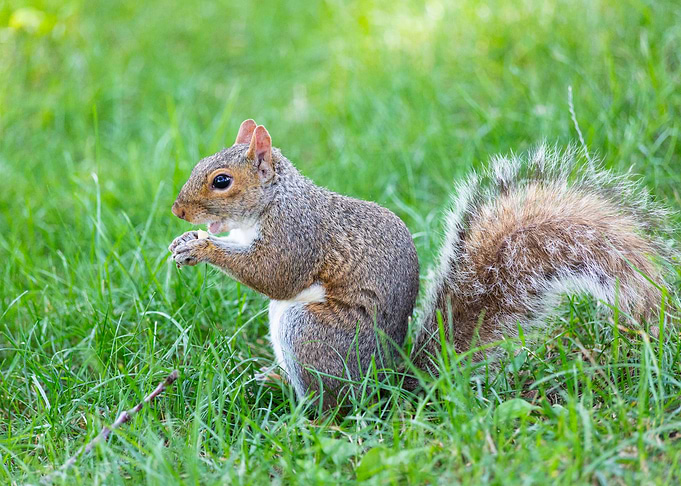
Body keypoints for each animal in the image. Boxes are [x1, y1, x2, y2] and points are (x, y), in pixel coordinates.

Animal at [169, 119, 673, 408]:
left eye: (221, 181)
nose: (177, 211)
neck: (273, 201)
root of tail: (388, 383)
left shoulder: (298, 234)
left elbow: (275, 274)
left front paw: (202, 248)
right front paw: (187, 241)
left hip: (310, 331)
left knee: (332, 404)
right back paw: (274, 378)